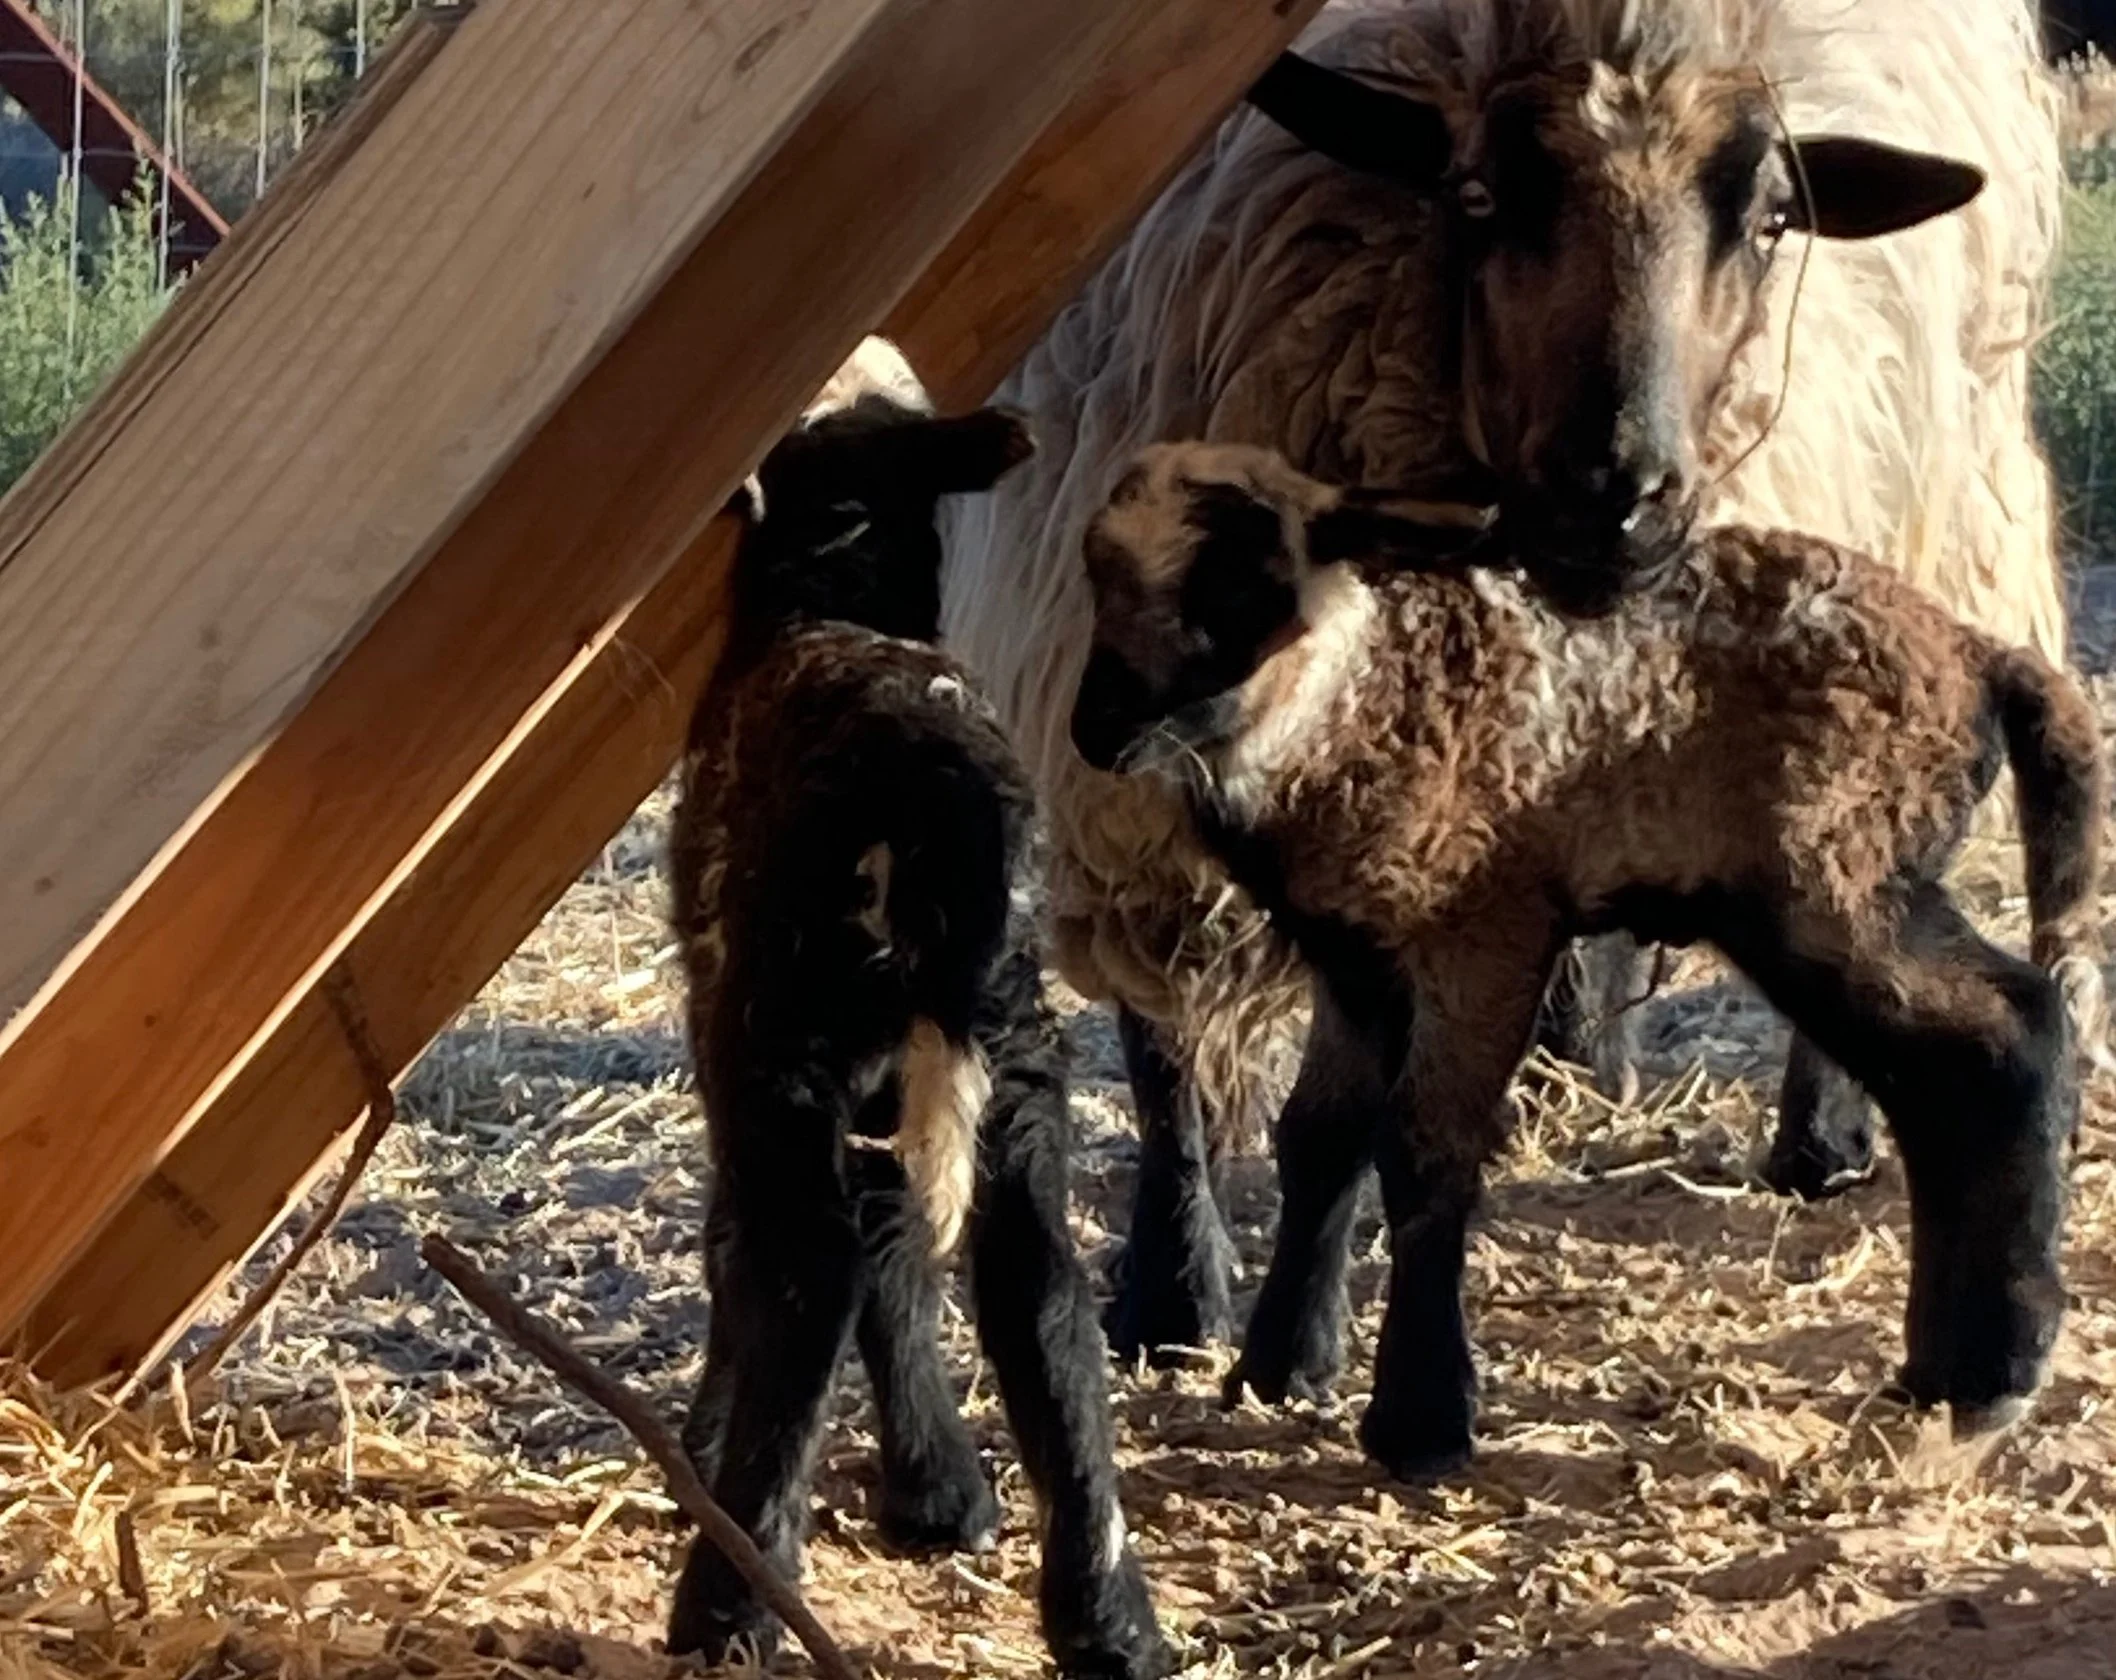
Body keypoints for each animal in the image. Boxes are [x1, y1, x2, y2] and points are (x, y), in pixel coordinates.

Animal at [664, 350, 1171, 1680]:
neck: (831, 590)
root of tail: (927, 778)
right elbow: (905, 1245)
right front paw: (937, 1489)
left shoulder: (731, 1026)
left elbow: (754, 1249)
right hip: (1015, 1048)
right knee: (1038, 1293)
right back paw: (1109, 1621)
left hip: (778, 1030)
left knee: (804, 1268)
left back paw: (727, 1596)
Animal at [940, 0, 2068, 1379]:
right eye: (1477, 195)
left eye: (1770, 220)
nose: (1621, 496)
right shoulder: (1119, 760)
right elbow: (1169, 1055)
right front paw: (1171, 1297)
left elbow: (1343, 1100)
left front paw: (1295, 1336)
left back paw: (1815, 1138)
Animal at [1066, 439, 2107, 1480]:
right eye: (1097, 575)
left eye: (1241, 582)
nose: (1096, 730)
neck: (1356, 700)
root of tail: (1988, 659)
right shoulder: (1356, 963)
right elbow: (1319, 1140)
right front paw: (1279, 1370)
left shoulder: (1485, 934)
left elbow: (1426, 1149)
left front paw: (1422, 1424)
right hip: (1852, 887)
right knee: (1951, 1076)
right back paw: (1947, 1370)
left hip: (1840, 875)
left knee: (2011, 1034)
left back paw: (1995, 1370)